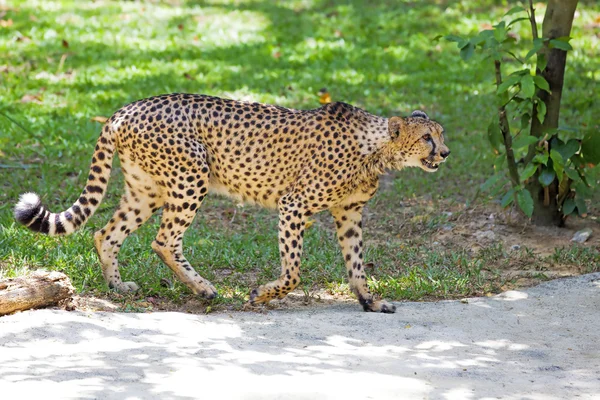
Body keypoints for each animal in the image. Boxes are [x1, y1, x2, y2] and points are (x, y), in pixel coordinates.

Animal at [14, 94, 448, 312]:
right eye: (427, 137)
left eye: (440, 134)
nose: (444, 153)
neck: (376, 147)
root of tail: (127, 108)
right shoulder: (294, 205)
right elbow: (293, 272)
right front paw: (262, 294)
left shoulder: (350, 214)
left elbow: (356, 263)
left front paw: (370, 301)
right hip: (192, 177)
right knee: (164, 241)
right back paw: (205, 290)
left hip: (147, 190)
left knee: (106, 233)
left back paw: (118, 286)